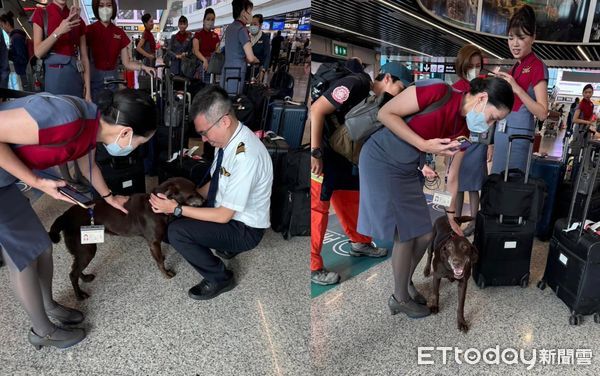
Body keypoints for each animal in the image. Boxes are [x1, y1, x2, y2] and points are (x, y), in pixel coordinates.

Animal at [49, 177, 204, 300]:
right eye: (192, 193)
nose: (205, 199)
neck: (156, 206)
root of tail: (64, 216)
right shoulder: (153, 242)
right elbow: (159, 261)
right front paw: (166, 274)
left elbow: (160, 257)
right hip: (87, 249)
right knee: (72, 274)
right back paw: (79, 296)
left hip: (82, 249)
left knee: (75, 269)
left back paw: (85, 278)